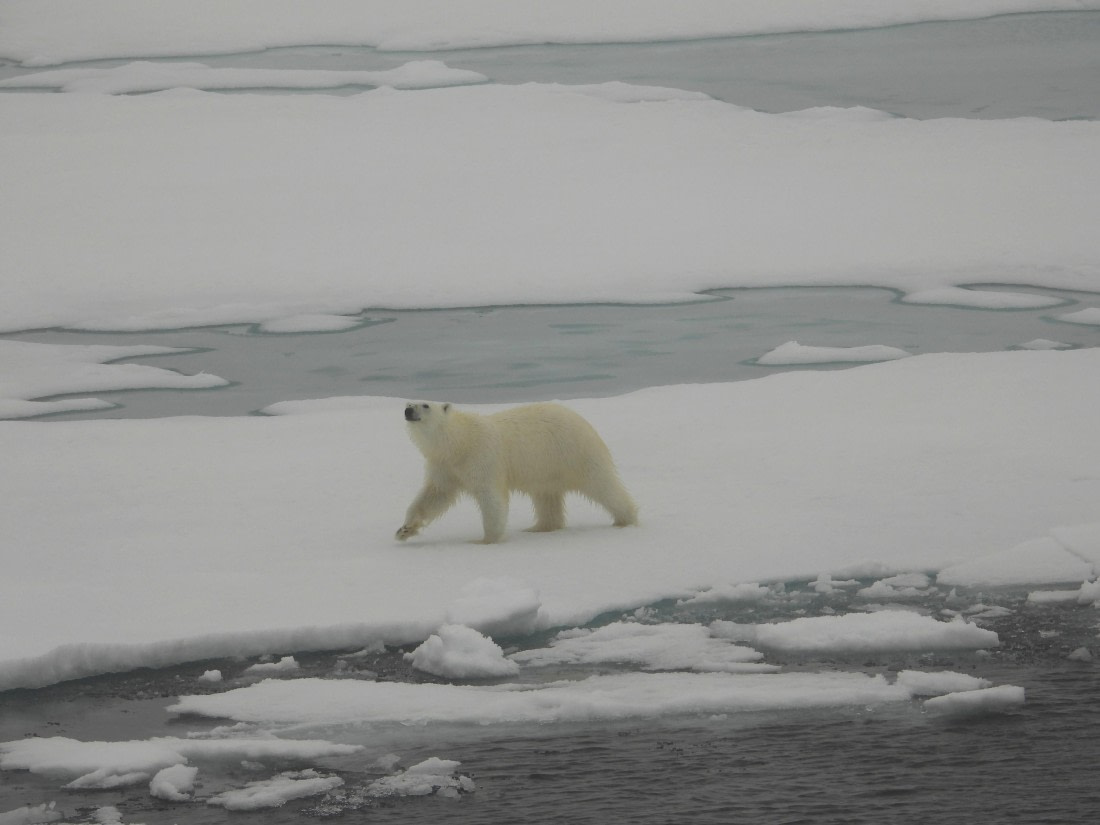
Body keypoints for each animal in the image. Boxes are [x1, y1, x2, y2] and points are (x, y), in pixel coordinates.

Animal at [396, 400, 637, 544]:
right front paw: (404, 530)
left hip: (574, 454)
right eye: (408, 402)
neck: (460, 441)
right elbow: (434, 496)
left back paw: (626, 519)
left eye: (425, 405)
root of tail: (585, 423)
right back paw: (538, 528)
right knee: (546, 497)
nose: (408, 411)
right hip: (545, 468)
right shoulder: (446, 466)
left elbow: (491, 498)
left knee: (603, 485)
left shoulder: (482, 458)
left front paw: (486, 540)